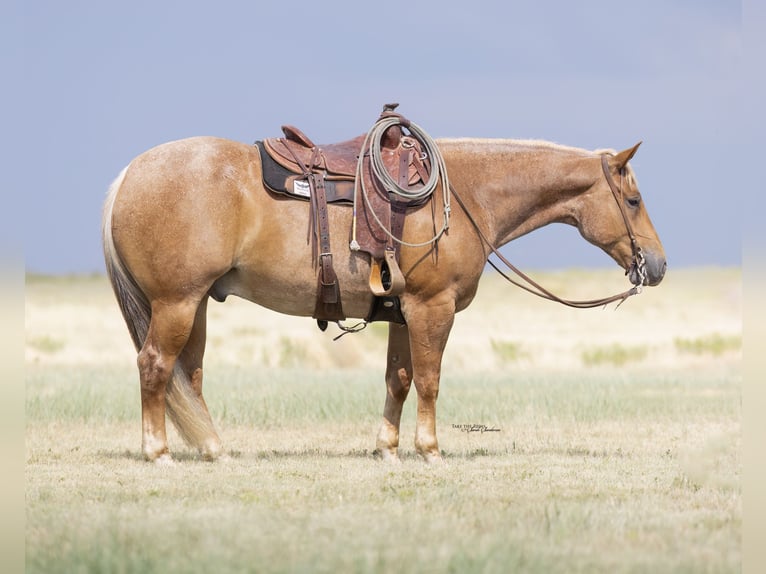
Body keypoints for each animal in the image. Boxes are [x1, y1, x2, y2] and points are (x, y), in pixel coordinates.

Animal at [102, 133, 666, 465]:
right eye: (633, 200)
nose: (657, 266)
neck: (463, 194)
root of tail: (130, 173)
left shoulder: (402, 313)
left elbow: (399, 379)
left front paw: (388, 449)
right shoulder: (432, 308)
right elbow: (430, 381)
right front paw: (431, 451)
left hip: (194, 305)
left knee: (189, 375)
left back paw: (214, 449)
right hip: (176, 303)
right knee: (155, 365)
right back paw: (158, 452)